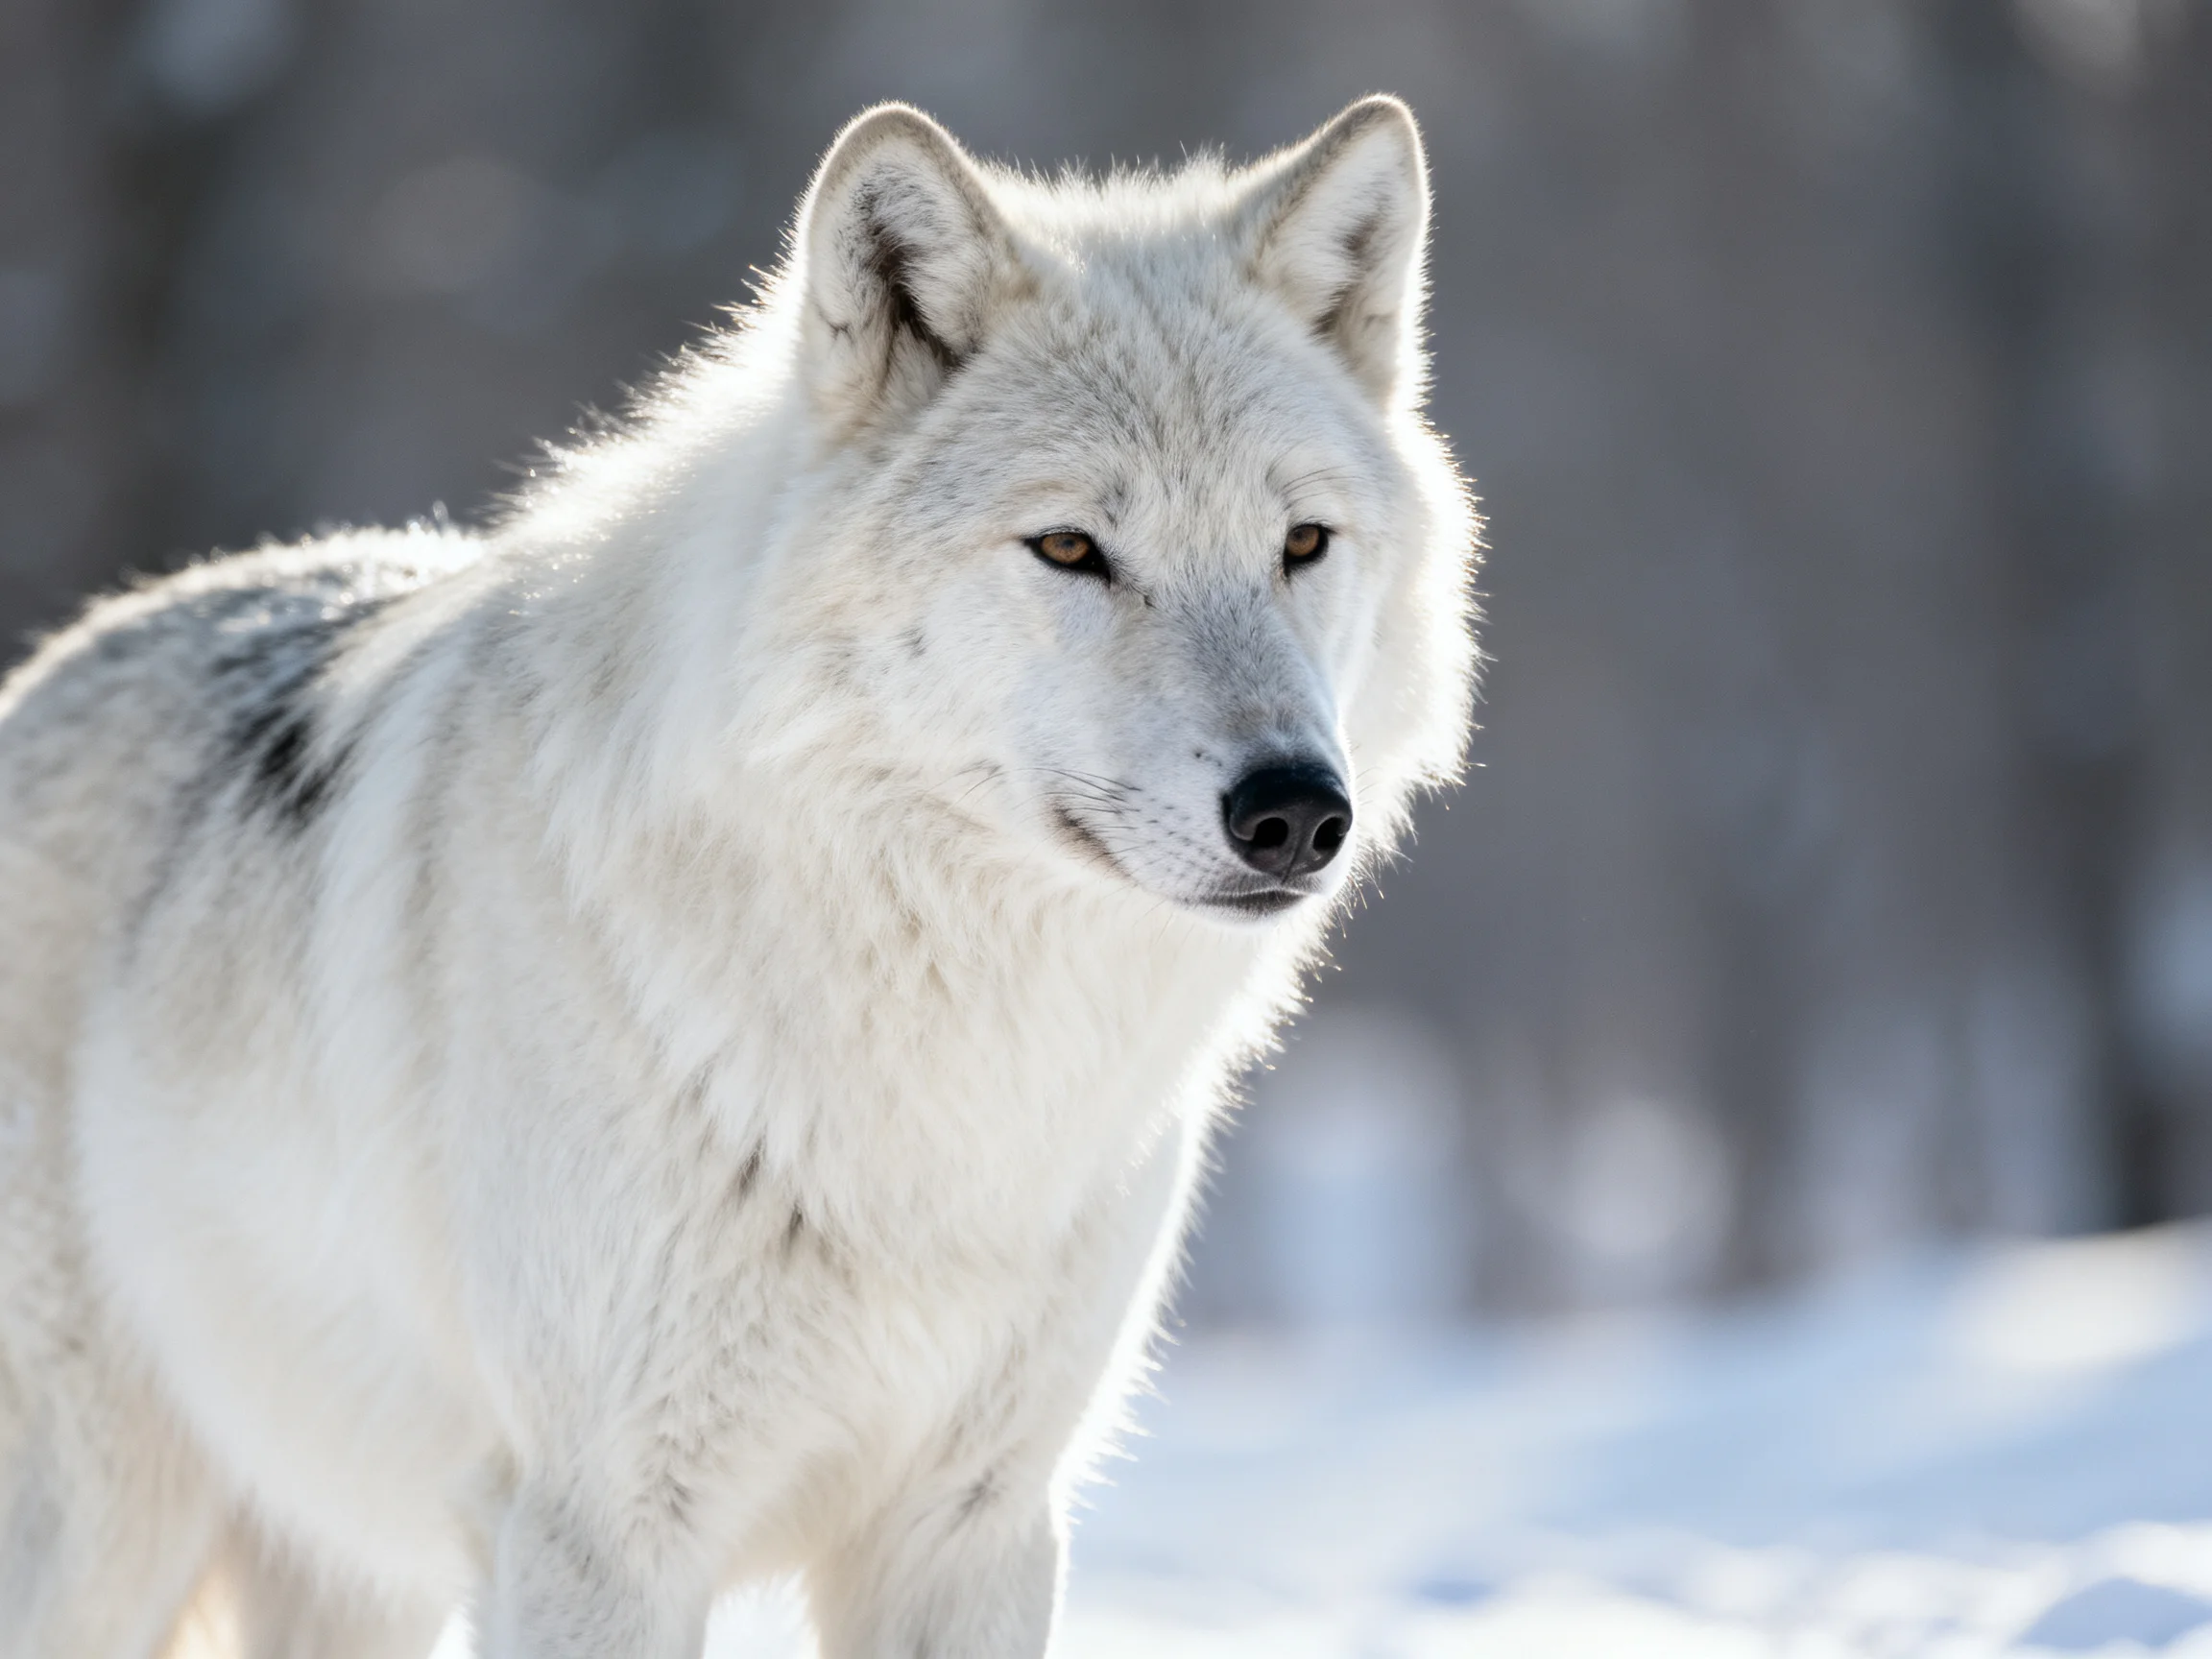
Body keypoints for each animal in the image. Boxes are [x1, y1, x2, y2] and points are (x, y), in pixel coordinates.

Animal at [0, 96, 1477, 1657]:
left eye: (1300, 543)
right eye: (1072, 547)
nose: (1295, 812)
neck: (946, 1084)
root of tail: (53, 670)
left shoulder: (975, 1530)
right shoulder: (598, 1535)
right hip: (105, 1542)